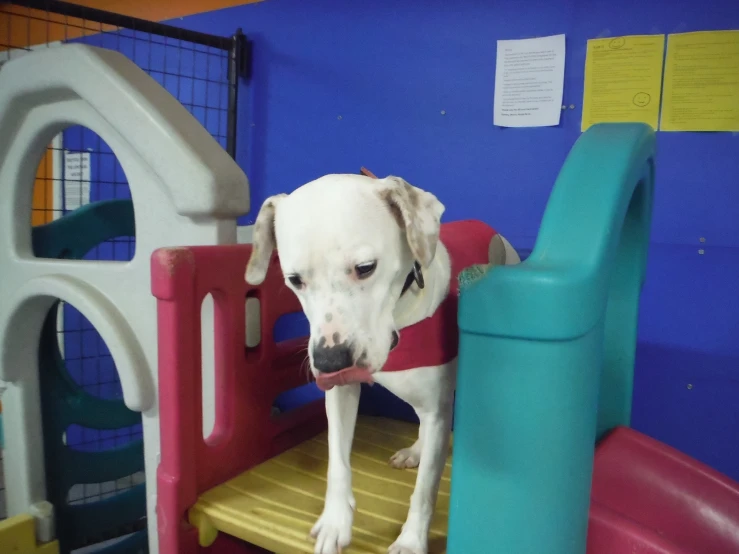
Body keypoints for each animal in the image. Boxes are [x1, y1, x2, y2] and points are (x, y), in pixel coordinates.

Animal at [244, 170, 520, 548]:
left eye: (365, 268)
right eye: (295, 280)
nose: (330, 361)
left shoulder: (436, 406)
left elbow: (425, 489)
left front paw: (411, 541)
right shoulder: (341, 395)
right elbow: (337, 462)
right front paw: (335, 522)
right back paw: (415, 450)